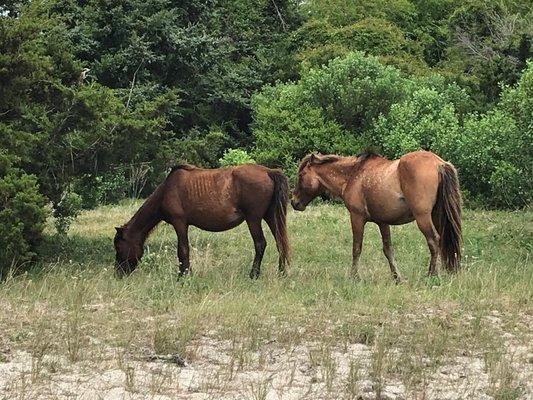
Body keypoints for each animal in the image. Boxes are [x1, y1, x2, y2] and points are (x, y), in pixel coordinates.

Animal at [111, 162, 286, 278]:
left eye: (119, 246)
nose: (118, 273)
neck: (167, 190)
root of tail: (269, 171)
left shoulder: (180, 223)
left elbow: (183, 250)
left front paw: (183, 276)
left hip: (253, 219)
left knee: (260, 244)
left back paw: (253, 274)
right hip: (271, 217)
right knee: (280, 242)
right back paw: (281, 272)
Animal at [290, 150, 462, 282]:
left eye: (301, 175)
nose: (294, 202)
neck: (352, 175)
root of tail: (439, 163)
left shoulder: (357, 218)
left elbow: (356, 248)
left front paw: (355, 277)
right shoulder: (383, 222)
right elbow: (388, 250)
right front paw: (397, 278)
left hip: (423, 218)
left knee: (433, 241)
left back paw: (432, 275)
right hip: (437, 216)